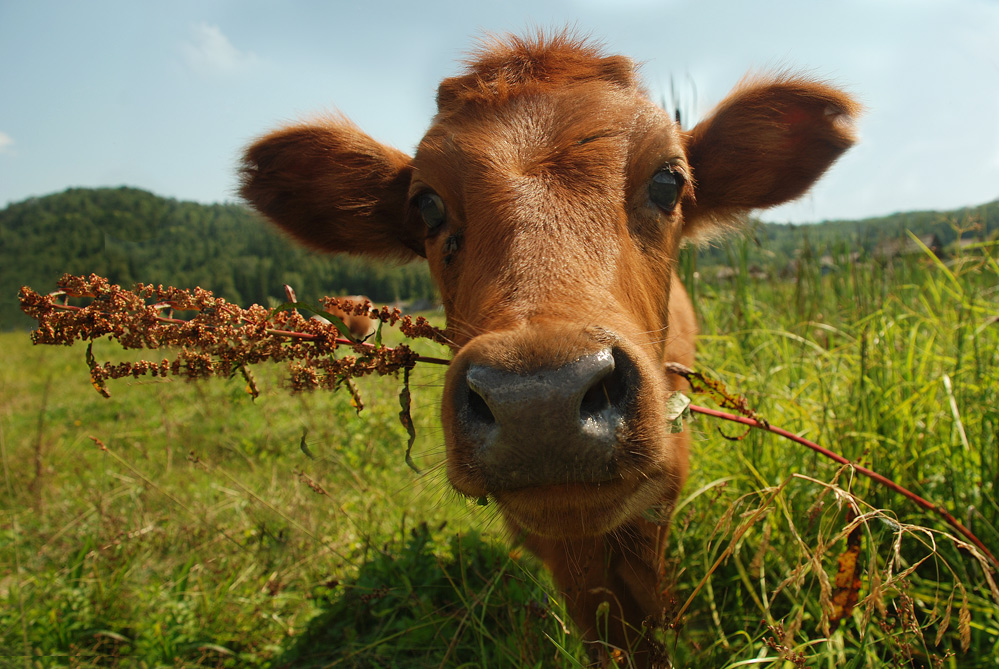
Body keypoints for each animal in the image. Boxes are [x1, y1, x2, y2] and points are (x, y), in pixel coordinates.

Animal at [238, 32, 856, 668]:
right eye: (427, 204)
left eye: (669, 182)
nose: (539, 402)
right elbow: (598, 619)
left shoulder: (661, 486)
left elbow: (647, 609)